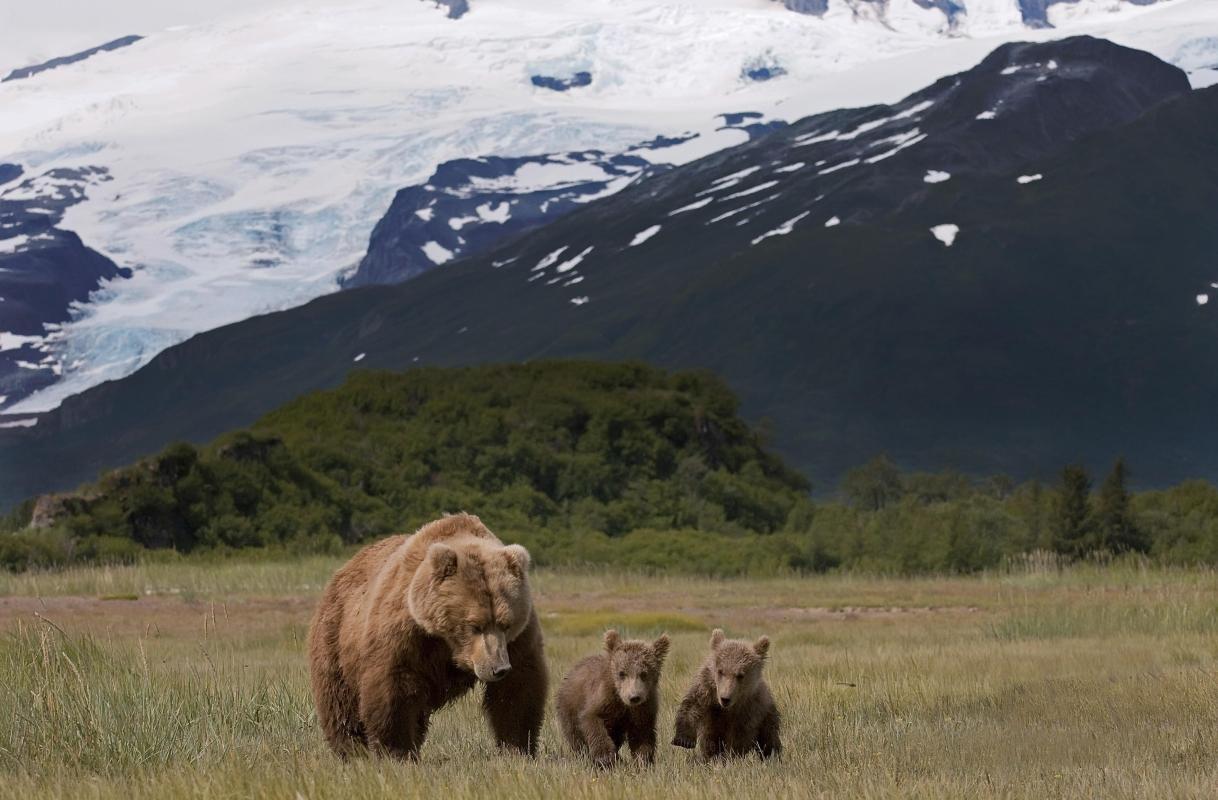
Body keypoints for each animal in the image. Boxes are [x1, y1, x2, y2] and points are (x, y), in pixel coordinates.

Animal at [306, 513, 550, 759]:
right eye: (474, 625)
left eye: (506, 623)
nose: (498, 668)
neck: (447, 641)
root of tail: (345, 568)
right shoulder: (405, 633)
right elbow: (393, 689)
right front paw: (395, 751)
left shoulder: (519, 639)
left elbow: (517, 689)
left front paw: (517, 748)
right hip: (335, 638)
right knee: (340, 702)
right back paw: (352, 750)